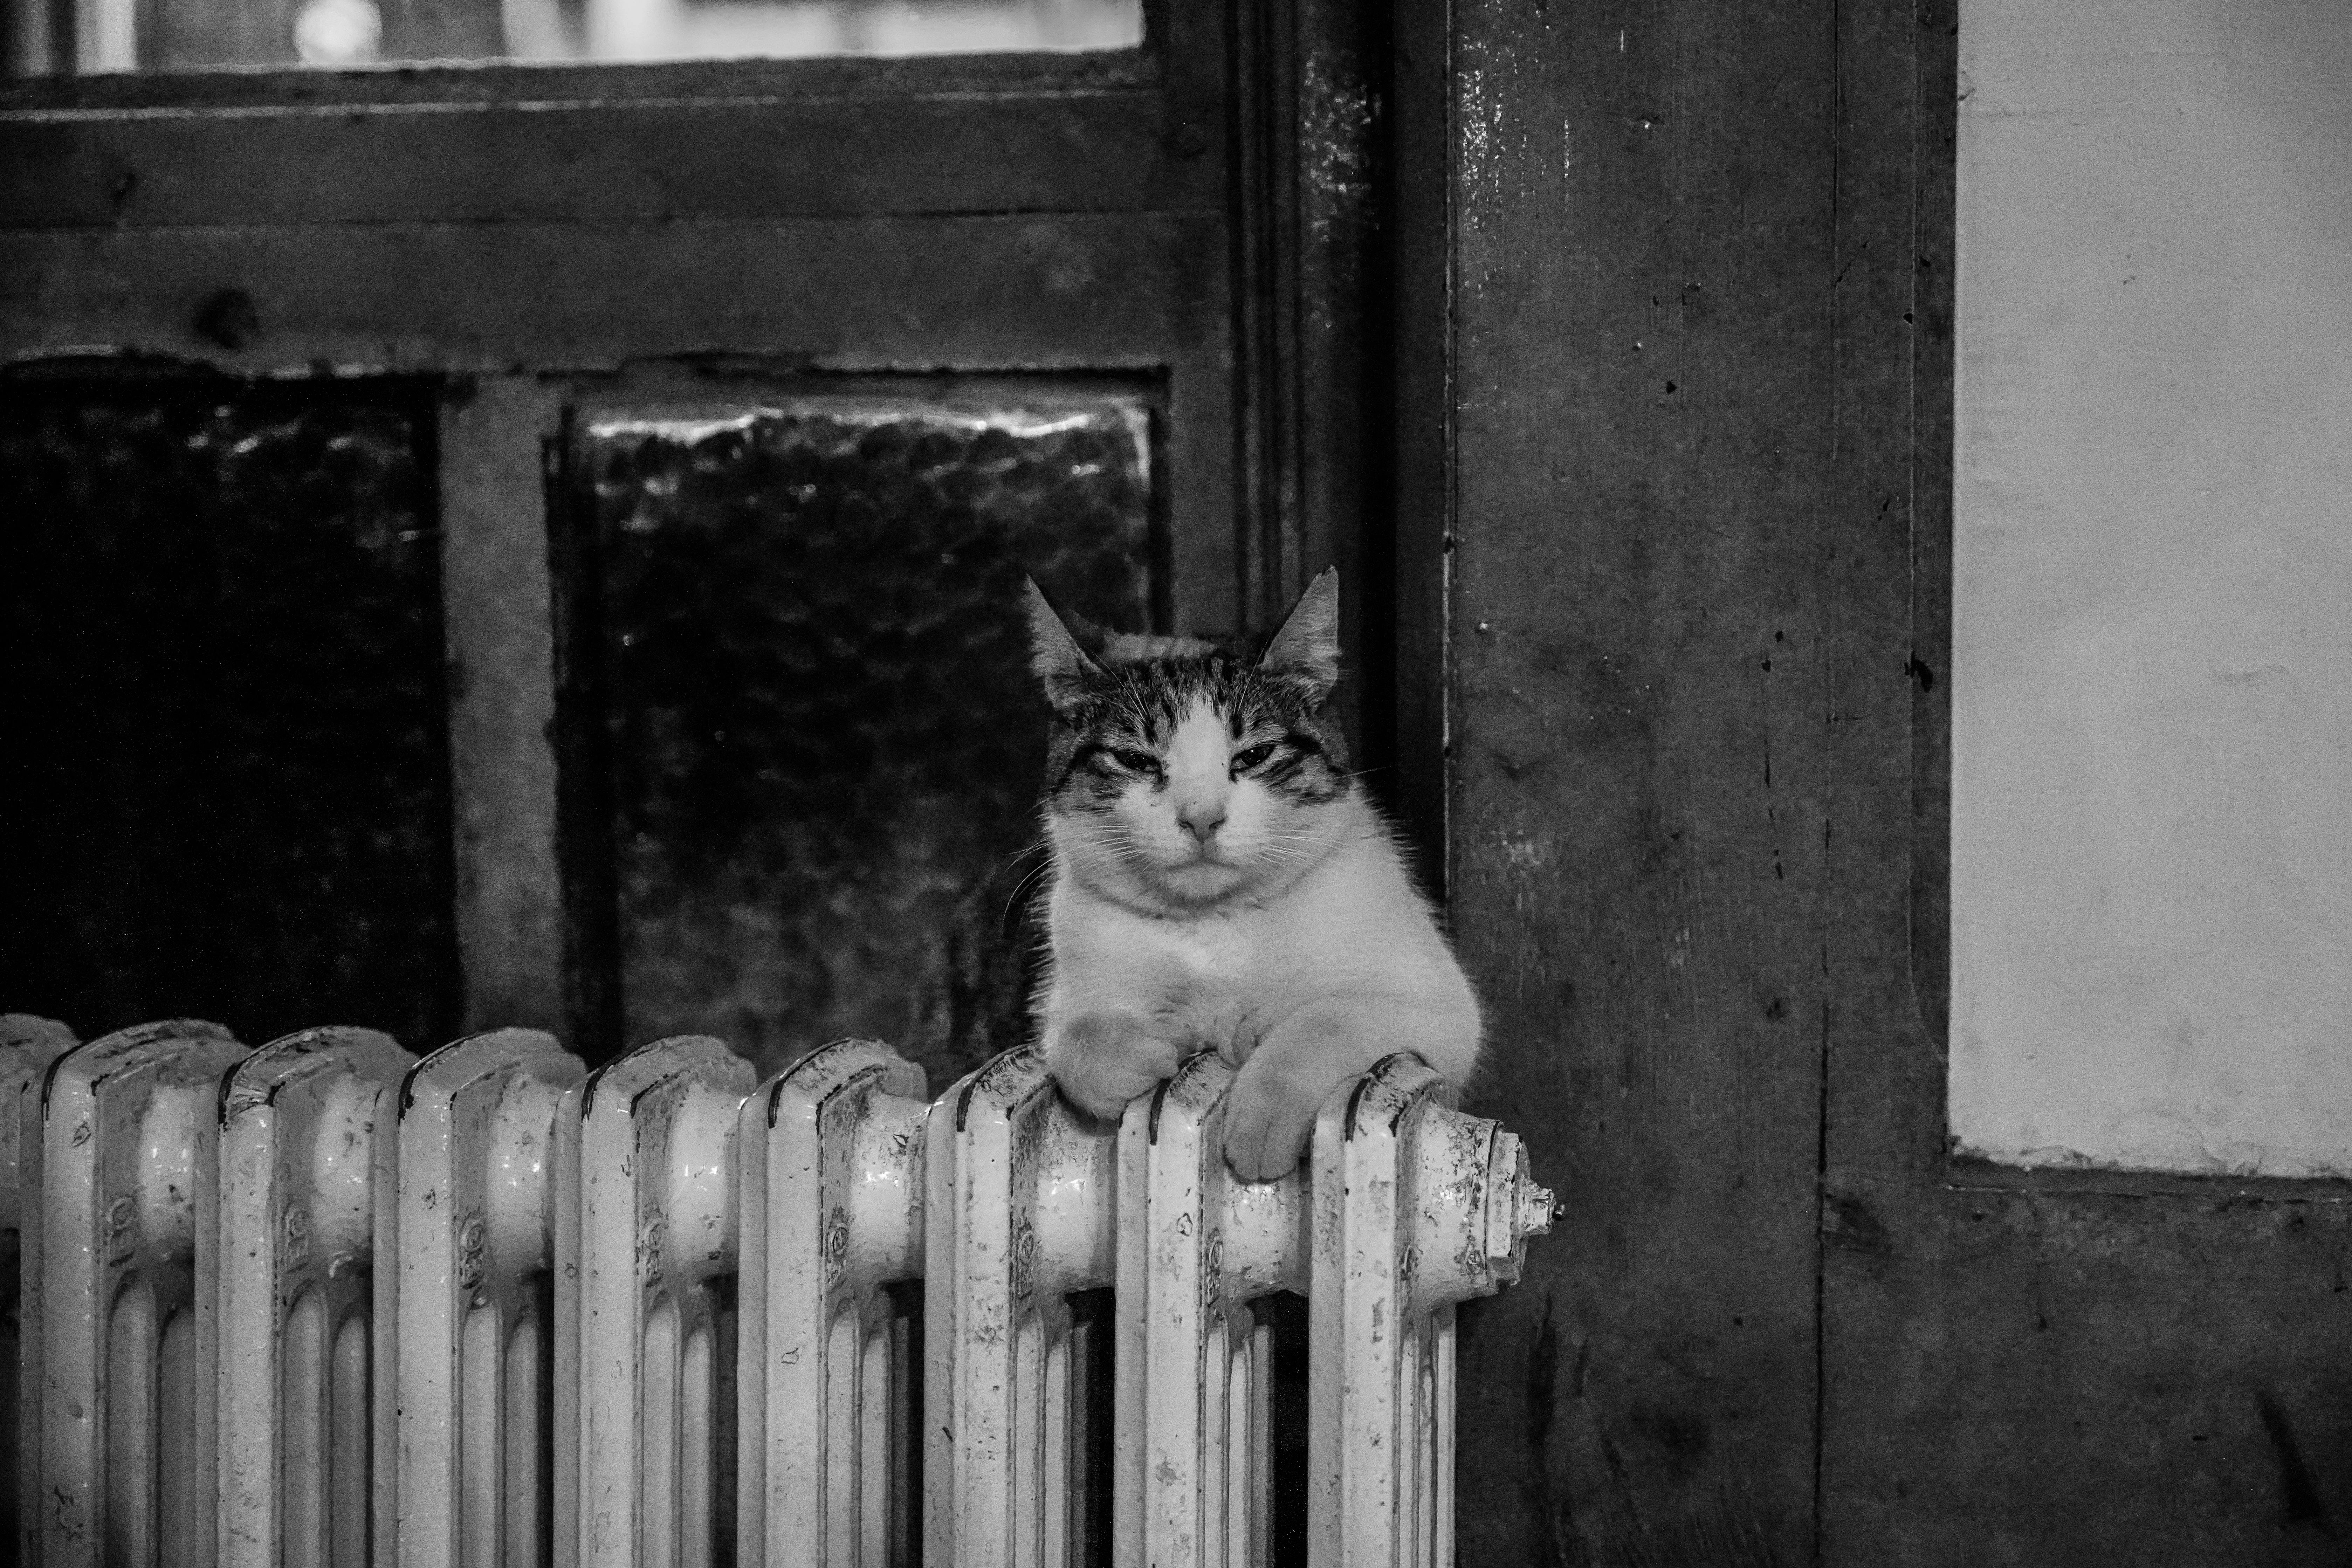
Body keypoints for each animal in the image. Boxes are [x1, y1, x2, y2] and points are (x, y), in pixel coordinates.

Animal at [1020, 573, 1477, 1175]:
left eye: (1254, 755)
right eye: (1137, 761)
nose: (1201, 818)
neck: (1216, 926)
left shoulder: (1442, 1009)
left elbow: (1324, 1019)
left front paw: (1262, 1111)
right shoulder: (1081, 977)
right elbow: (1071, 1031)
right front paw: (1131, 1054)